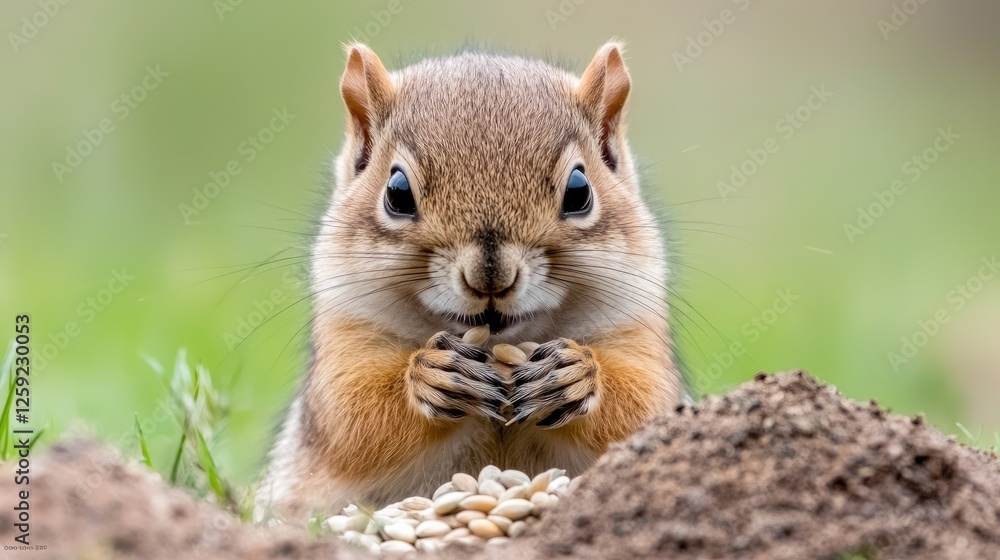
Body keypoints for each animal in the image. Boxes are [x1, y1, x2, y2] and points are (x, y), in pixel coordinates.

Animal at [257, 41, 687, 520]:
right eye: (396, 193)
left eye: (580, 191)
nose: (490, 278)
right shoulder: (345, 336)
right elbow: (351, 417)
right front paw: (432, 376)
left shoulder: (636, 327)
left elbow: (645, 406)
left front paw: (575, 375)